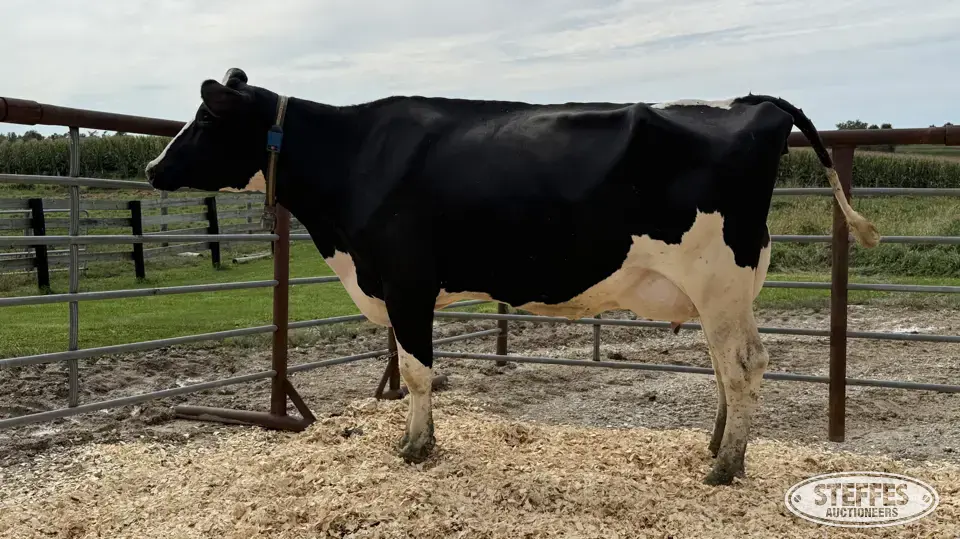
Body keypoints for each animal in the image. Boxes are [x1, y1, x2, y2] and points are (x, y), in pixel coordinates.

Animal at [145, 68, 879, 485]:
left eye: (206, 118)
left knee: (745, 366)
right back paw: (720, 449)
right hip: (726, 291)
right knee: (731, 369)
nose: (152, 167)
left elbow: (419, 372)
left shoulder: (407, 283)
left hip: (719, 280)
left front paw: (416, 447)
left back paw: (725, 468)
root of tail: (753, 103)